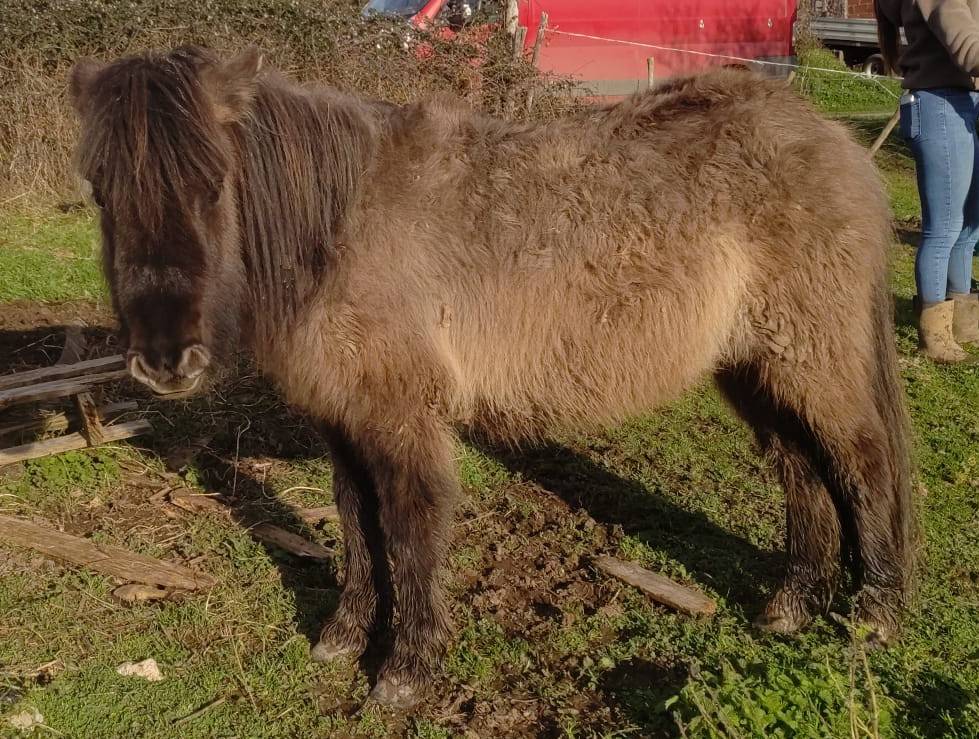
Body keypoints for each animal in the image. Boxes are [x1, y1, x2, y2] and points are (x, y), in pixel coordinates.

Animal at [69, 46, 914, 708]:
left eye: (213, 185)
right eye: (100, 192)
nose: (165, 360)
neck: (343, 226)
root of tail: (828, 139)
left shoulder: (401, 417)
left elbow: (409, 529)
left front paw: (405, 670)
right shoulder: (344, 417)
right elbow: (355, 520)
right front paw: (343, 636)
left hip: (809, 358)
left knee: (862, 462)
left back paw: (873, 613)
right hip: (751, 368)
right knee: (801, 469)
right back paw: (790, 606)